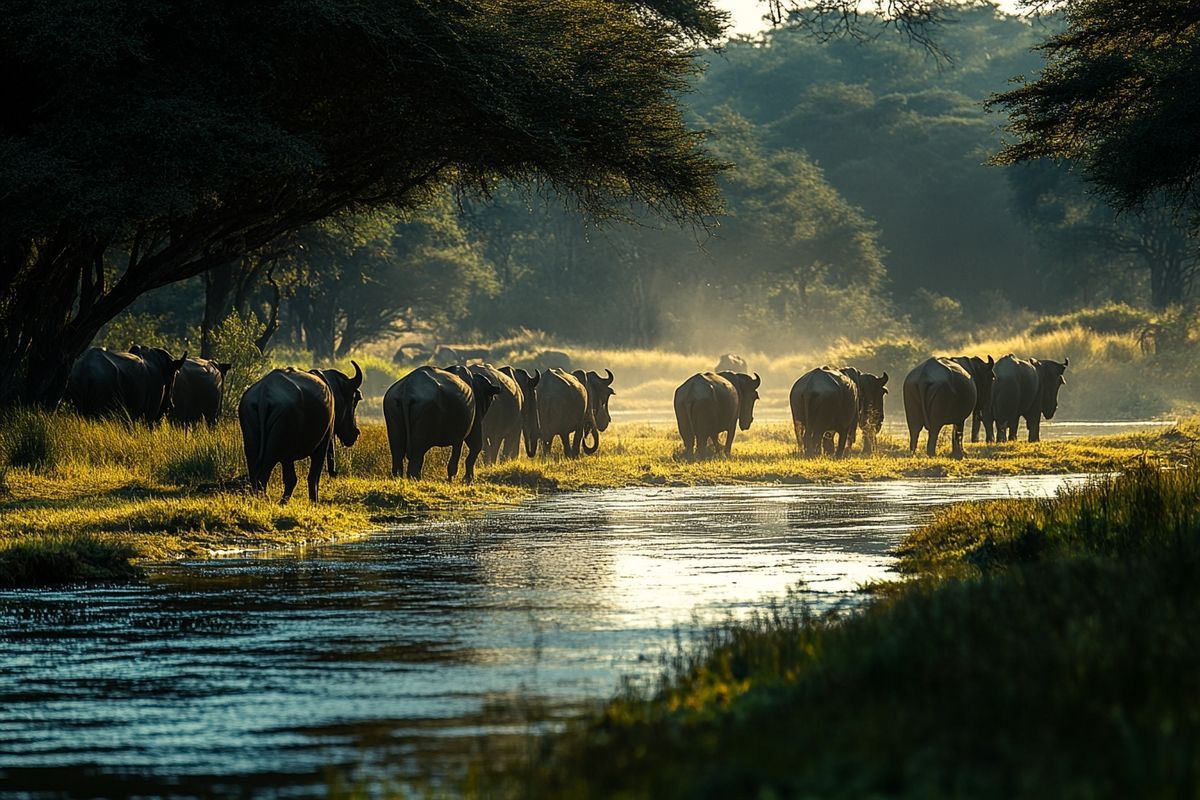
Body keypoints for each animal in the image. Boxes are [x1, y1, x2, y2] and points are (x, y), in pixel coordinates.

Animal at [236, 364, 360, 503]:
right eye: (355, 399)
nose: (355, 433)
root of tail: (263, 395)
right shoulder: (322, 444)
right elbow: (313, 476)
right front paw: (314, 501)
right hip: (278, 441)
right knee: (266, 473)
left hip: (251, 431)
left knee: (254, 470)